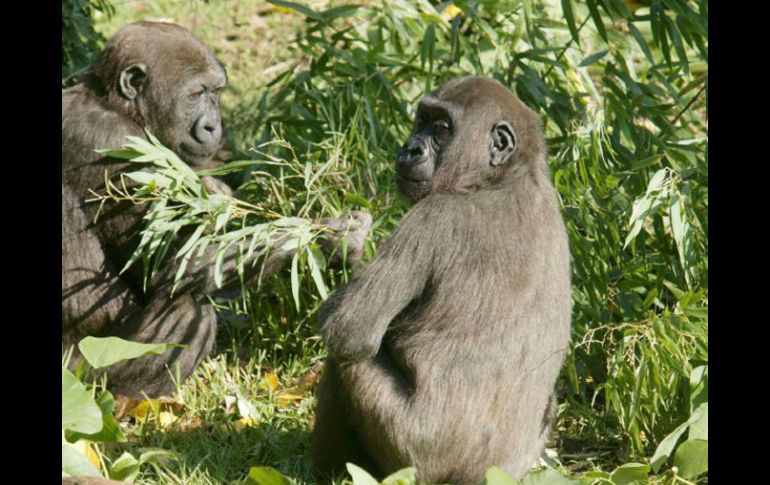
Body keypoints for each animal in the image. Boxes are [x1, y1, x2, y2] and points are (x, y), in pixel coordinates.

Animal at [62, 20, 368, 398]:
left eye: (216, 92)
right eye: (194, 95)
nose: (213, 125)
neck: (117, 106)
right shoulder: (112, 146)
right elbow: (173, 264)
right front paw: (329, 236)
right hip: (80, 368)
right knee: (185, 318)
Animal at [310, 77, 568, 482]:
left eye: (442, 128)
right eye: (422, 120)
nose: (410, 148)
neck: (506, 175)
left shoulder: (432, 217)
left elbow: (349, 330)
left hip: (419, 462)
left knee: (346, 361)